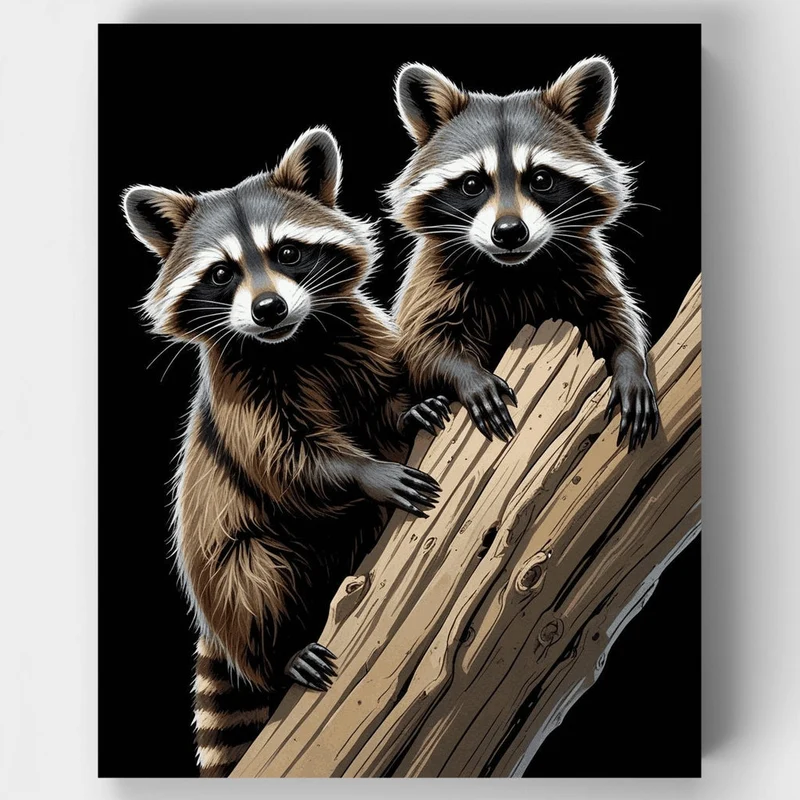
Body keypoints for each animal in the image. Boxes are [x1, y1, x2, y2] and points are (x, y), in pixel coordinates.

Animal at [123, 128, 446, 776]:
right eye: (222, 273)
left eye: (289, 253)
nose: (268, 309)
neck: (293, 342)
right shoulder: (239, 394)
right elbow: (289, 462)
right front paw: (367, 472)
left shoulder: (356, 337)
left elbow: (386, 399)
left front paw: (410, 412)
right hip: (230, 575)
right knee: (256, 574)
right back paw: (283, 652)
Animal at [387, 58, 658, 449]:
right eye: (472, 184)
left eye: (541, 179)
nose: (509, 232)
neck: (513, 271)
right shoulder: (434, 277)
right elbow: (425, 342)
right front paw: (467, 375)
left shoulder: (583, 263)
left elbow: (614, 315)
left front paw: (630, 364)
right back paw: (418, 412)